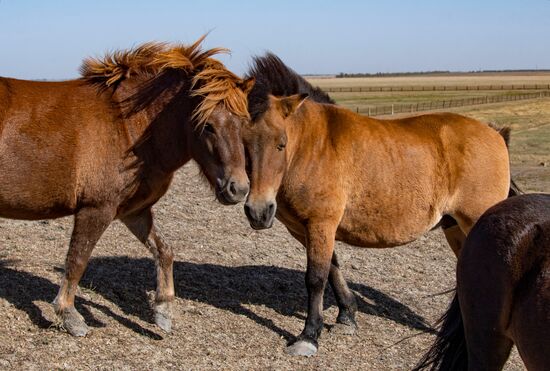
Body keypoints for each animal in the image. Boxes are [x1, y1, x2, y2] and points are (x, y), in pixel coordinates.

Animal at [0, 37, 254, 338]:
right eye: (208, 126)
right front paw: (69, 315)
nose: (238, 188)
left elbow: (164, 251)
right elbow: (76, 261)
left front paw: (163, 311)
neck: (127, 126)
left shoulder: (134, 211)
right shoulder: (96, 209)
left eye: (244, 123)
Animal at [242, 53, 516, 356]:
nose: (258, 211)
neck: (312, 146)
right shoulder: (306, 229)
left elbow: (316, 278)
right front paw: (347, 317)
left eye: (281, 143)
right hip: (455, 228)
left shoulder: (320, 224)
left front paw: (309, 336)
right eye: (243, 141)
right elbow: (333, 268)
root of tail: (495, 134)